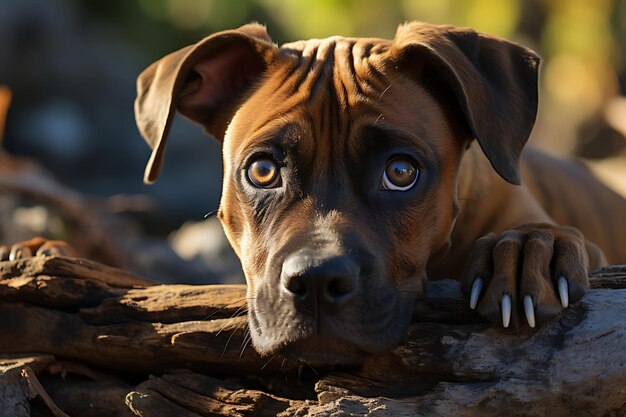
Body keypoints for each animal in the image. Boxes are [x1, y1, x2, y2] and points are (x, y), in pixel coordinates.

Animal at [4, 22, 624, 364]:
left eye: (402, 172)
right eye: (261, 172)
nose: (319, 282)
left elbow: (548, 237)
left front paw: (526, 251)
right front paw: (42, 253)